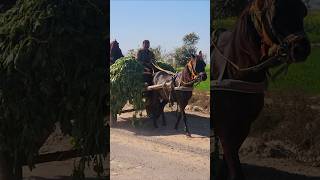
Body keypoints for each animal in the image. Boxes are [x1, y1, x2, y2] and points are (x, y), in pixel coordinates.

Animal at [211, 0, 312, 180]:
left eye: (302, 11)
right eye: (275, 14)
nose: (302, 48)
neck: (236, 71)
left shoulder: (244, 124)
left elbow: (232, 157)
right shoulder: (224, 127)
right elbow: (233, 162)